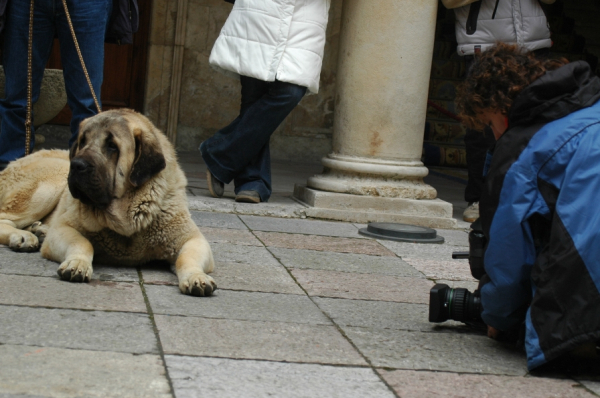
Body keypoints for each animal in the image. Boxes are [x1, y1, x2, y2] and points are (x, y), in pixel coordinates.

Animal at [0, 109, 217, 296]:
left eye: (112, 146)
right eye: (82, 141)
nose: (76, 165)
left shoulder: (192, 239)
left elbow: (186, 258)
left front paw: (197, 277)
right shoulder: (63, 230)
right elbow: (83, 242)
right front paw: (77, 264)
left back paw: (38, 230)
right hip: (49, 184)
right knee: (5, 218)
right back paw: (23, 236)